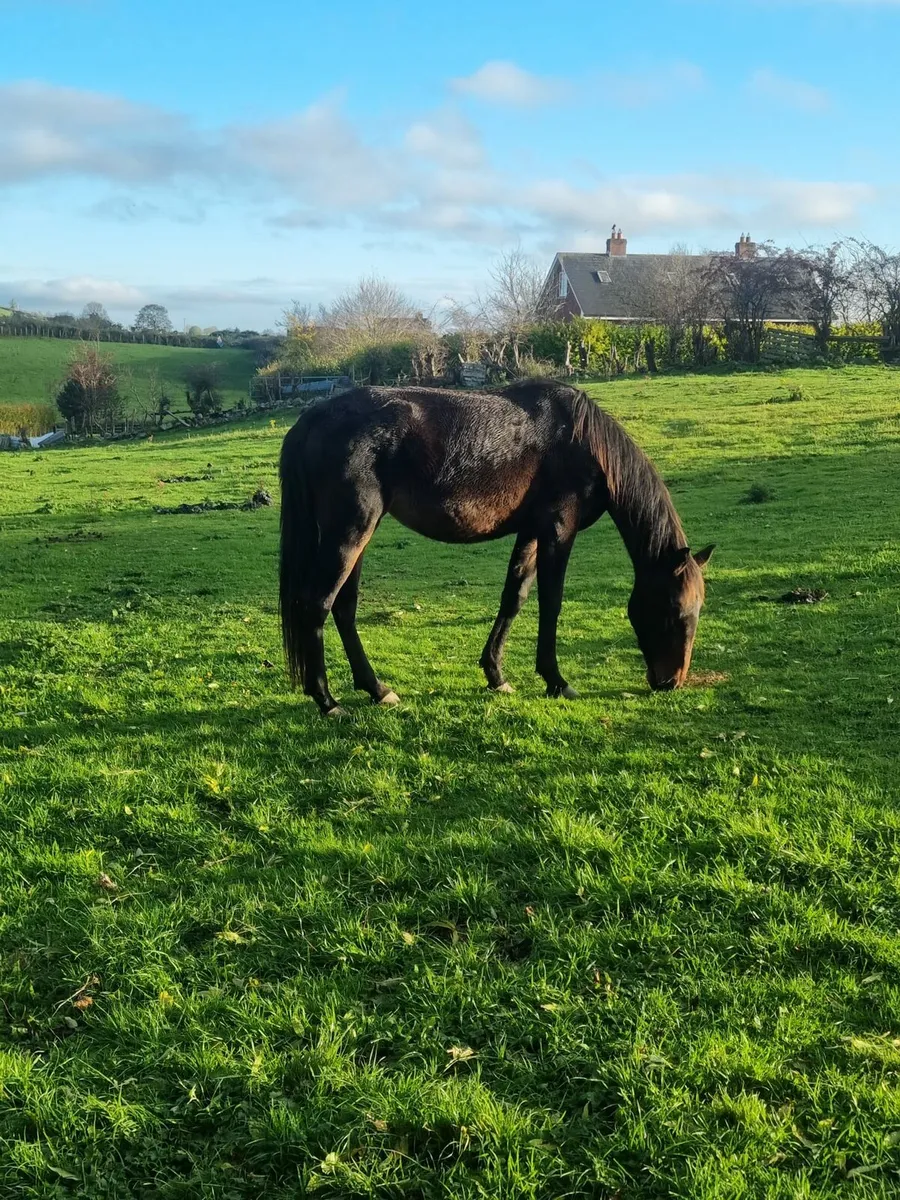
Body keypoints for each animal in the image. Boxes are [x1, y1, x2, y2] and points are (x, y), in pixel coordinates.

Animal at [279, 380, 714, 716]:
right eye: (675, 610)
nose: (670, 682)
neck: (581, 441)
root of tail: (311, 418)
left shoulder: (532, 531)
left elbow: (514, 597)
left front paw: (496, 675)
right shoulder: (559, 529)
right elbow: (551, 602)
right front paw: (557, 681)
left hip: (357, 536)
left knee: (344, 608)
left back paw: (377, 689)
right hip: (350, 532)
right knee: (317, 605)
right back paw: (328, 702)